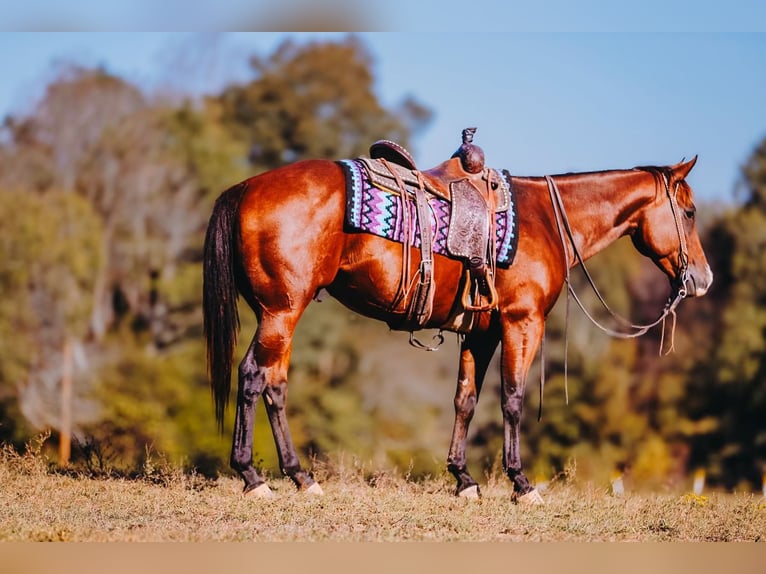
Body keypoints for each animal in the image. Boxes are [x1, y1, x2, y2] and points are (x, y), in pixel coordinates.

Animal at [202, 151, 713, 503]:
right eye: (689, 213)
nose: (703, 279)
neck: (547, 220)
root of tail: (246, 187)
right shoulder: (521, 323)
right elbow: (512, 401)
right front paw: (521, 483)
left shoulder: (480, 333)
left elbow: (465, 401)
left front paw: (463, 479)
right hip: (281, 311)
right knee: (254, 378)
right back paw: (253, 477)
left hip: (280, 314)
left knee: (275, 386)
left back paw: (299, 476)